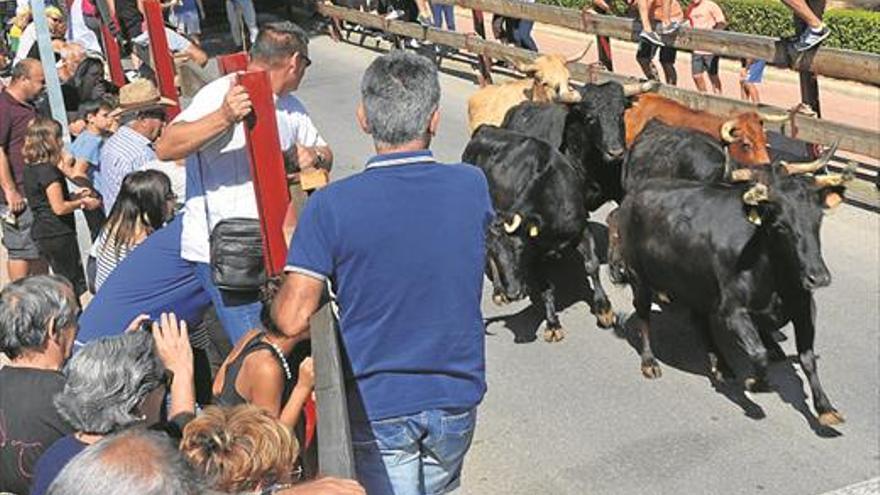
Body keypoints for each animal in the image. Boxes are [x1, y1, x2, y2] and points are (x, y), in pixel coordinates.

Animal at [464, 126, 616, 342]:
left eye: (519, 248)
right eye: (496, 253)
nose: (514, 293)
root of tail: (484, 129)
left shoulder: (581, 228)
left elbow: (592, 266)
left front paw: (604, 310)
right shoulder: (536, 253)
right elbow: (546, 287)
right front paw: (552, 324)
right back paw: (498, 292)